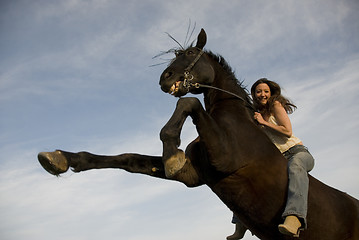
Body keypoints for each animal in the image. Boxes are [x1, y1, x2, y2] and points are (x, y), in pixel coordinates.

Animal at [38, 29, 359, 239]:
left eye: (191, 54)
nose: (164, 78)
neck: (232, 119)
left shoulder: (224, 159)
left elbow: (188, 102)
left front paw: (171, 150)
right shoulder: (195, 174)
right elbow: (127, 159)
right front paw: (59, 159)